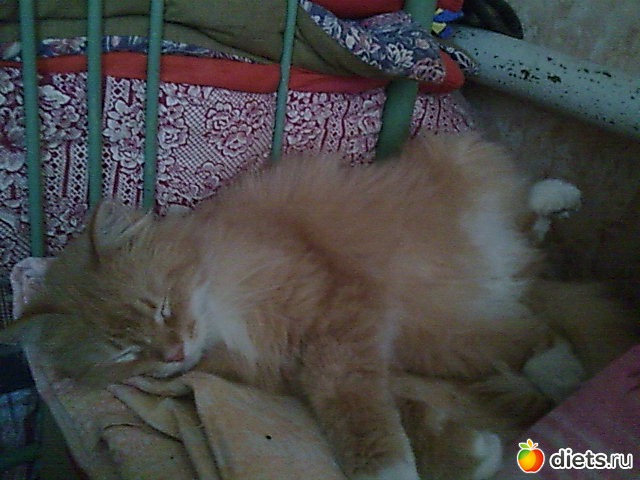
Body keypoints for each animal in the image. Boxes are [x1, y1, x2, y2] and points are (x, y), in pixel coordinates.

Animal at [11, 132, 636, 480]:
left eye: (162, 307)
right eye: (126, 354)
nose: (172, 353)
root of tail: (511, 275)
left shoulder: (337, 318)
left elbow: (356, 411)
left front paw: (389, 472)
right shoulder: (322, 360)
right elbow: (390, 413)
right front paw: (465, 457)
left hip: (457, 194)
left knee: (524, 235)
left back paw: (559, 210)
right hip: (447, 335)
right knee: (527, 303)